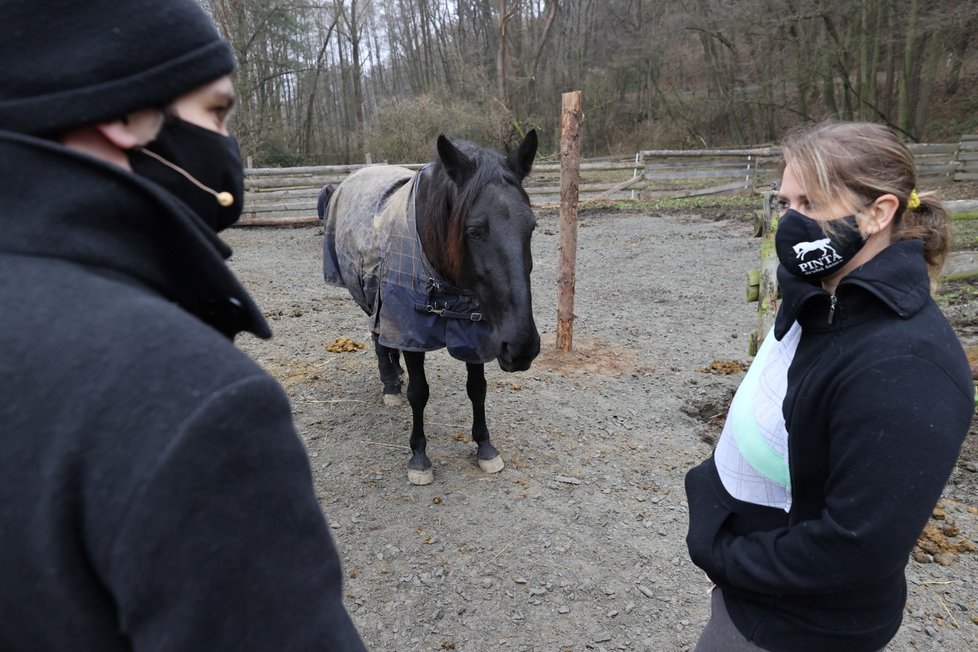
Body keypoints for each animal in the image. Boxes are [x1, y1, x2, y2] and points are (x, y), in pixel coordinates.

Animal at [322, 130, 540, 484]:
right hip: (368, 297)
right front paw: (419, 456)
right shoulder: (411, 330)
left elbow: (477, 388)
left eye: (531, 226)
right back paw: (390, 384)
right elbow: (419, 392)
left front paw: (485, 446)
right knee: (377, 338)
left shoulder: (475, 332)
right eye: (473, 231)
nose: (522, 348)